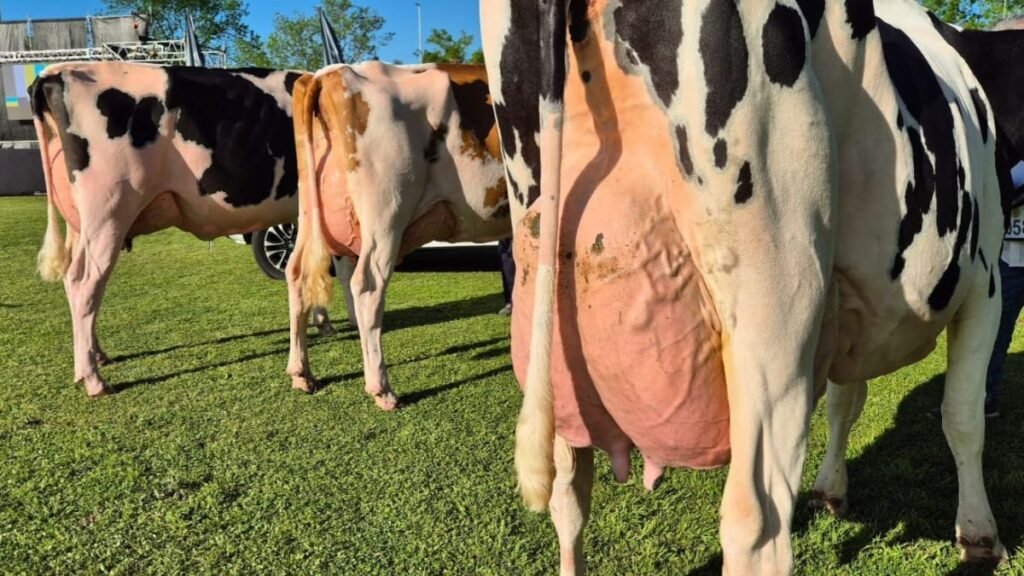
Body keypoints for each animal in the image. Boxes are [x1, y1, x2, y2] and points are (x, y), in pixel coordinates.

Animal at [33, 62, 336, 398]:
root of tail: (58, 70)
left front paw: (324, 323)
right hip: (107, 213)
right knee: (84, 283)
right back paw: (93, 379)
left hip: (80, 223)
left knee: (75, 282)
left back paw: (97, 355)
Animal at [285, 62, 511, 410]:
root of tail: (329, 73)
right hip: (387, 211)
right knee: (367, 284)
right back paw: (382, 390)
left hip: (310, 212)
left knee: (297, 273)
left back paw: (302, 374)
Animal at [481, 0, 1006, 573]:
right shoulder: (986, 284)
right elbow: (963, 418)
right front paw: (979, 535)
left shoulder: (845, 306)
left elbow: (847, 401)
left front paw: (832, 490)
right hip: (776, 313)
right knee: (757, 522)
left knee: (568, 495)